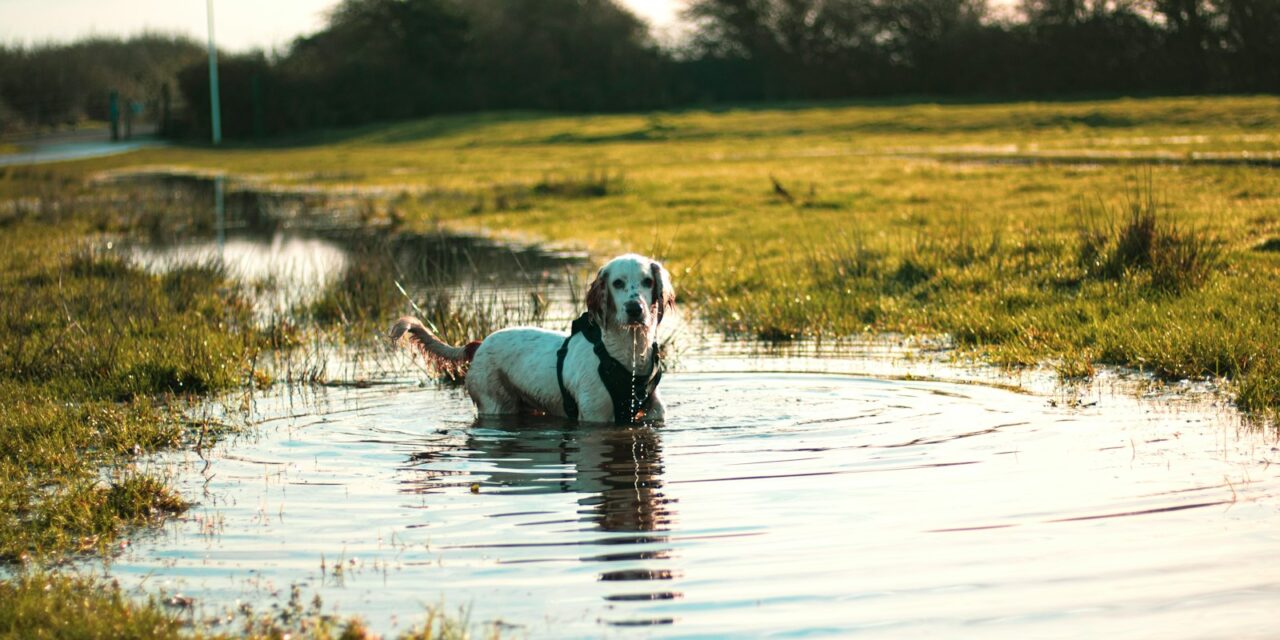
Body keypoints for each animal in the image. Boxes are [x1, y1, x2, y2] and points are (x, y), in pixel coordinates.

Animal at [386, 254, 670, 424]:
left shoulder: (652, 413)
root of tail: (478, 345)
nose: (635, 309)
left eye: (647, 281)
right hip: (496, 405)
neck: (625, 355)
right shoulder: (595, 415)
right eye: (618, 283)